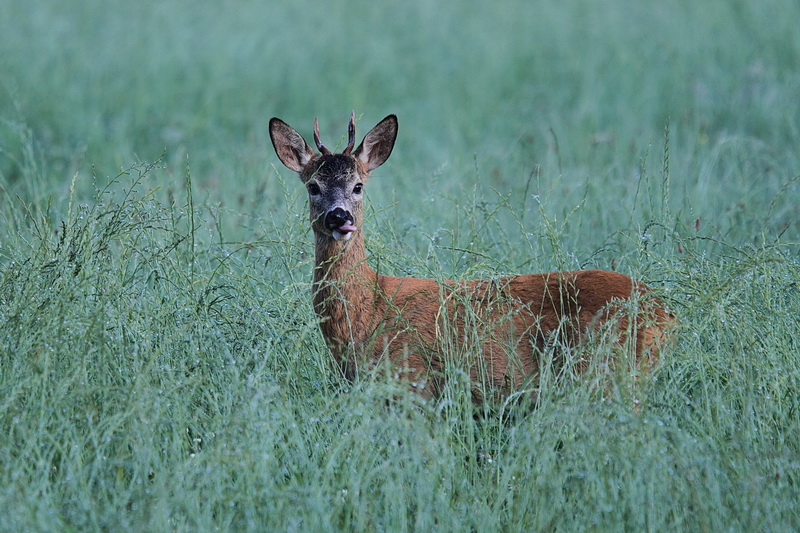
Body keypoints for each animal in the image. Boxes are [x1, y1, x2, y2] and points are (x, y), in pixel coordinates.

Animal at [268, 113, 676, 404]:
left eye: (358, 186)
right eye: (313, 186)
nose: (339, 217)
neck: (368, 313)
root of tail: (667, 315)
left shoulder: (414, 384)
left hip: (607, 373)